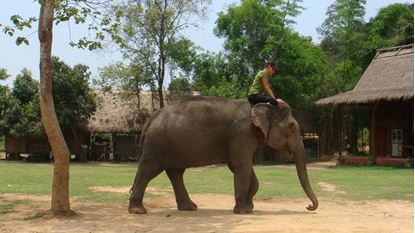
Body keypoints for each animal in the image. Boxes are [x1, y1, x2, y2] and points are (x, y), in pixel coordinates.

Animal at [128, 95, 320, 214]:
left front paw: (249, 207)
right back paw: (138, 211)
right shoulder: (240, 133)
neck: (261, 106)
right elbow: (241, 166)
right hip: (157, 144)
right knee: (148, 170)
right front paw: (243, 211)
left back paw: (190, 208)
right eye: (291, 128)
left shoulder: (240, 138)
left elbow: (240, 167)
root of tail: (152, 117)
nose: (308, 206)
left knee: (175, 173)